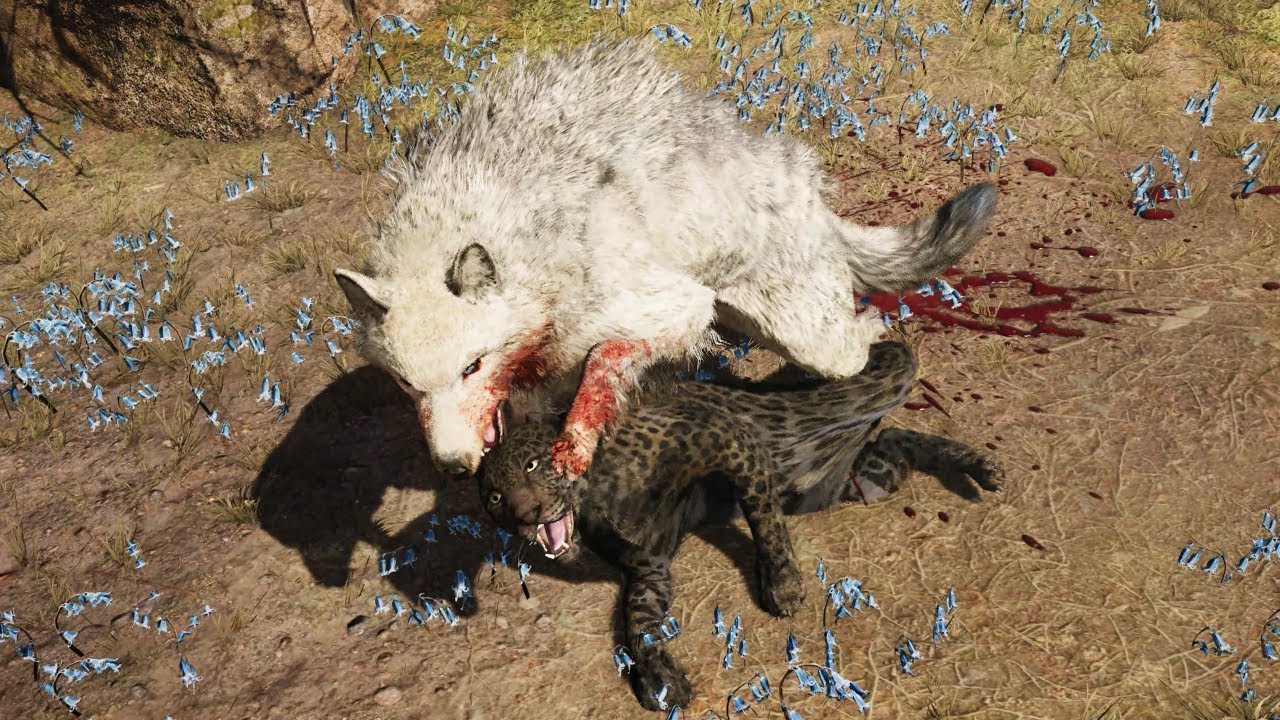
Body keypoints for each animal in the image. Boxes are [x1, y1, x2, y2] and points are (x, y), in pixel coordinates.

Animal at [334, 37, 998, 481]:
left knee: (867, 328)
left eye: (472, 366)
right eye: (406, 384)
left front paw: (577, 442)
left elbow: (603, 362)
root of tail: (808, 189)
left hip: (816, 339)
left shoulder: (676, 307)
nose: (451, 467)